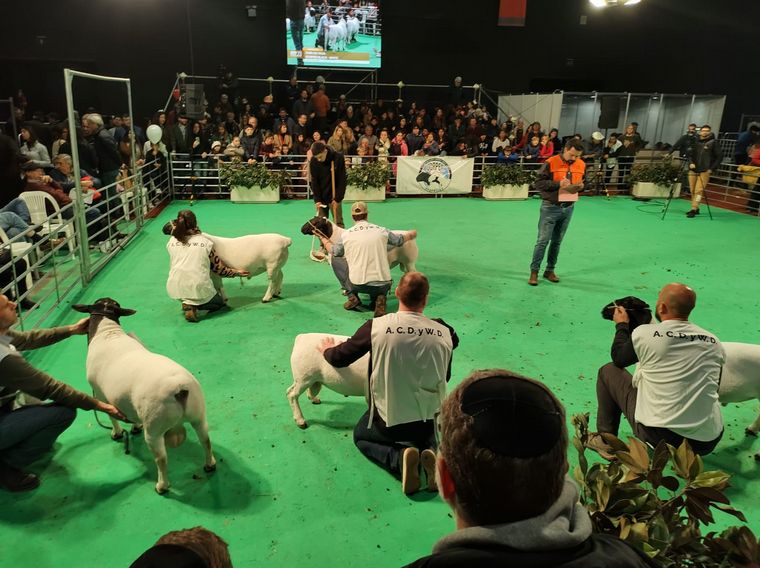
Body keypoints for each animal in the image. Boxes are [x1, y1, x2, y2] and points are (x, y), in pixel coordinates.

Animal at [72, 298, 215, 492]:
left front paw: (117, 433)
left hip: (154, 427)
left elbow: (111, 417)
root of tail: (180, 389)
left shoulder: (101, 395)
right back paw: (209, 465)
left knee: (161, 458)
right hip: (198, 413)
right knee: (205, 439)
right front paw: (135, 426)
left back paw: (162, 486)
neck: (108, 332)